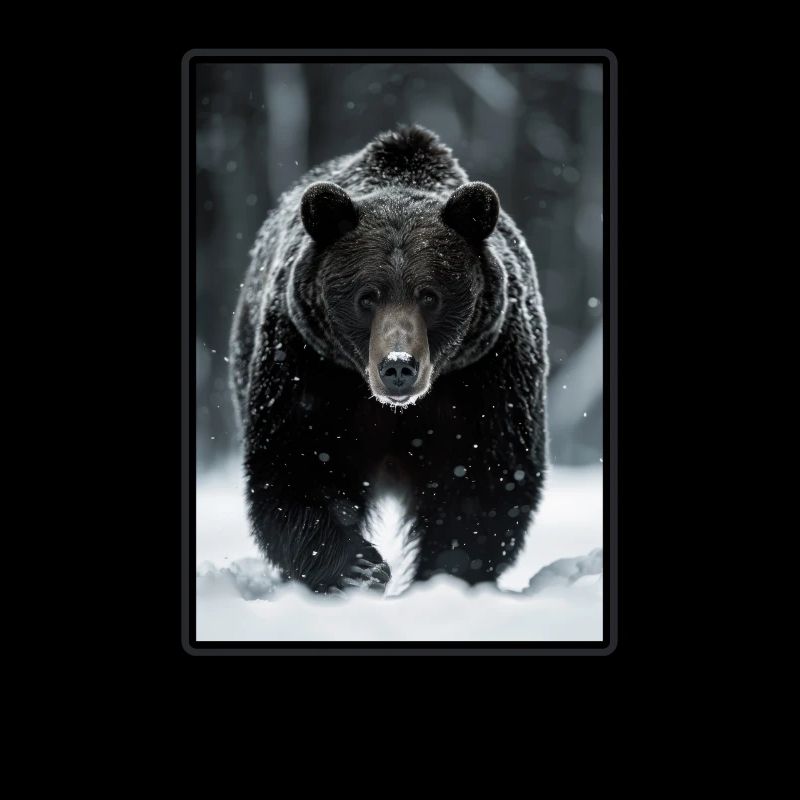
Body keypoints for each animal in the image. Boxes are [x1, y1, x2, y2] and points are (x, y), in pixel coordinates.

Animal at [230, 125, 548, 595]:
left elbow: (484, 480)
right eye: (367, 297)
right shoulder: (309, 366)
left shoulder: (487, 373)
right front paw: (360, 567)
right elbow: (300, 464)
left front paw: (446, 573)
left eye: (430, 295)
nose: (398, 365)